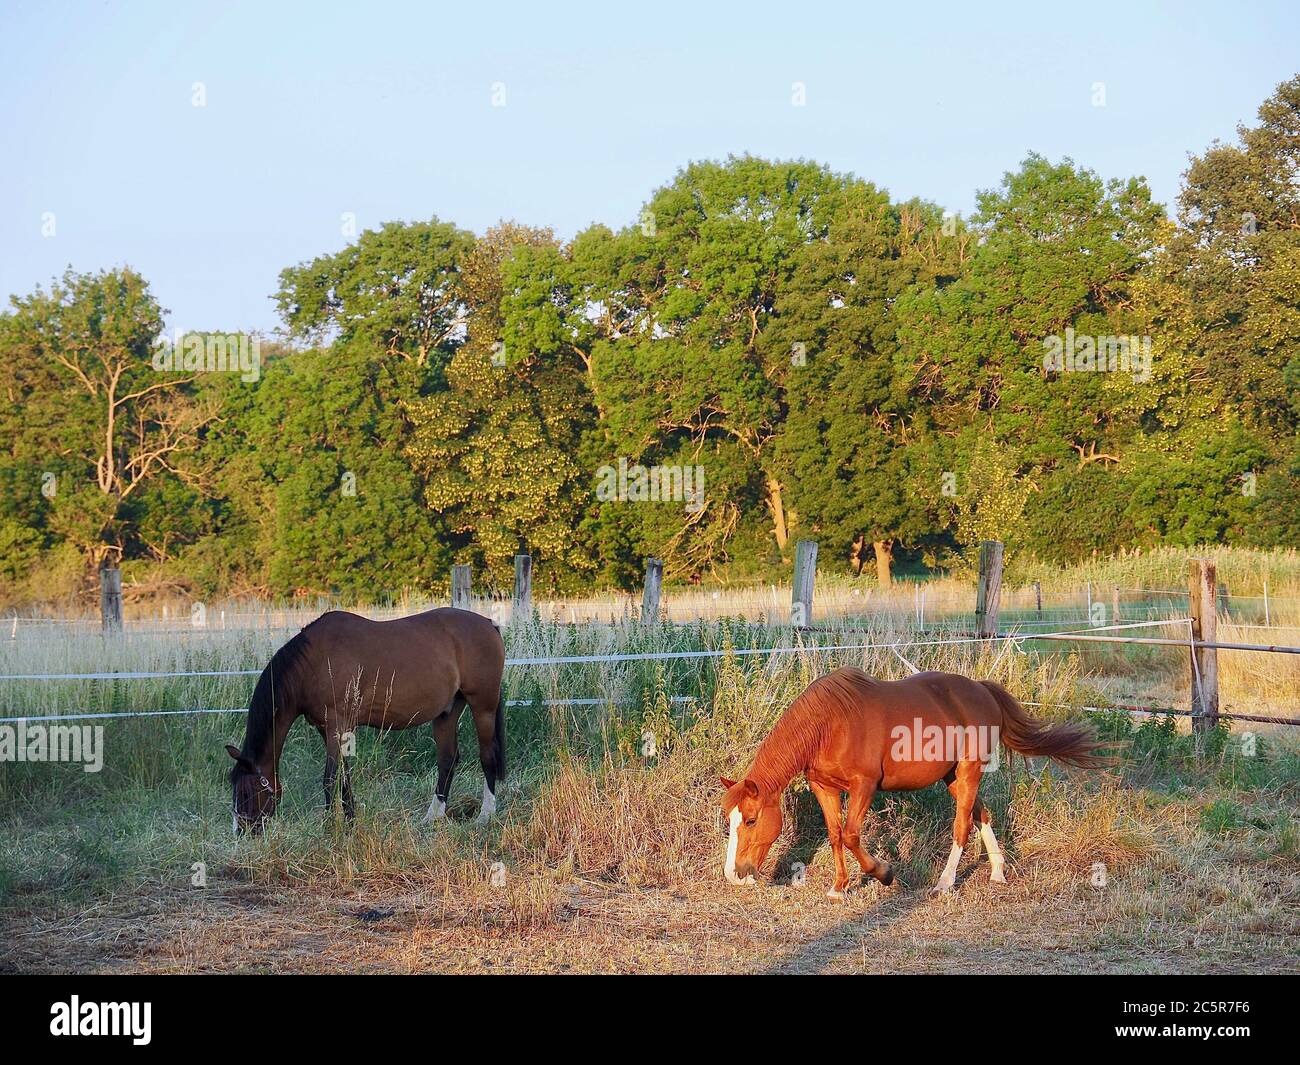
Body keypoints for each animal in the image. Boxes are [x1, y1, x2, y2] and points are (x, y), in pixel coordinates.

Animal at [226, 608, 504, 832]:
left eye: (246, 792)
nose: (241, 832)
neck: (314, 663)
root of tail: (489, 623)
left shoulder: (337, 726)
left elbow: (330, 779)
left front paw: (330, 827)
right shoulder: (328, 730)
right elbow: (344, 777)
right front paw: (350, 821)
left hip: (483, 706)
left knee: (487, 756)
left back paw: (485, 816)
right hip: (447, 712)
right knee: (447, 761)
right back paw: (432, 817)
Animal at [722, 670, 1107, 894]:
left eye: (751, 820)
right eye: (730, 821)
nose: (734, 873)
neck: (829, 723)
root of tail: (982, 690)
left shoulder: (864, 787)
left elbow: (851, 835)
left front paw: (884, 873)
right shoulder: (824, 788)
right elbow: (834, 835)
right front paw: (839, 886)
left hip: (968, 772)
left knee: (961, 827)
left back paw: (945, 883)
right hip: (953, 777)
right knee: (981, 815)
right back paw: (998, 871)